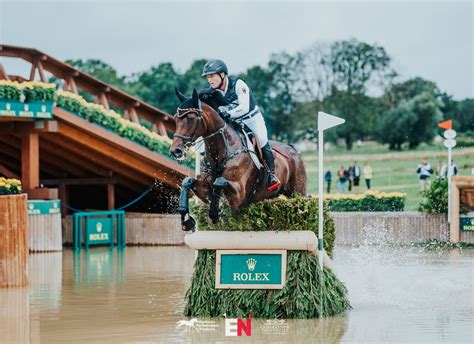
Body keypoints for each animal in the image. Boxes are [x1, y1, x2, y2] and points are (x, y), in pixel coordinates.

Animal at [170, 88, 308, 231]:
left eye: (191, 119)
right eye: (175, 118)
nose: (175, 151)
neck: (222, 151)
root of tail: (293, 149)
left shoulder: (238, 195)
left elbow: (219, 182)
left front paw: (214, 214)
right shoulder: (205, 189)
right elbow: (187, 181)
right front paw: (187, 220)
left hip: (298, 192)